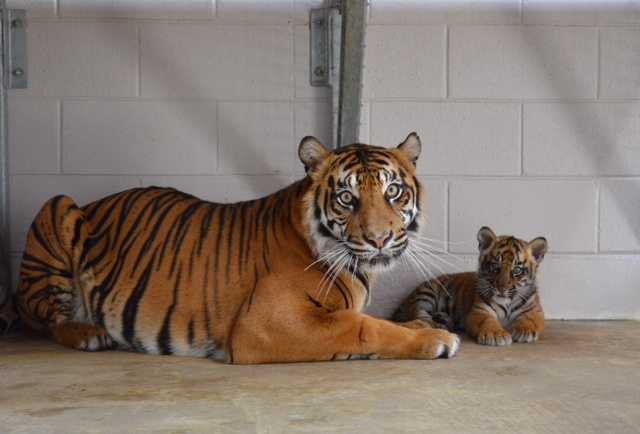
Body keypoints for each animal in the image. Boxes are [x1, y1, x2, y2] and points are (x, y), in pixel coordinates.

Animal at [13, 134, 456, 364]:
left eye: (393, 191)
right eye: (347, 198)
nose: (379, 239)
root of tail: (94, 202)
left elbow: (376, 321)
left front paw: (421, 326)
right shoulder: (267, 324)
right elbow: (364, 328)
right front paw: (435, 338)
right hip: (58, 204)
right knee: (48, 319)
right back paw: (89, 333)